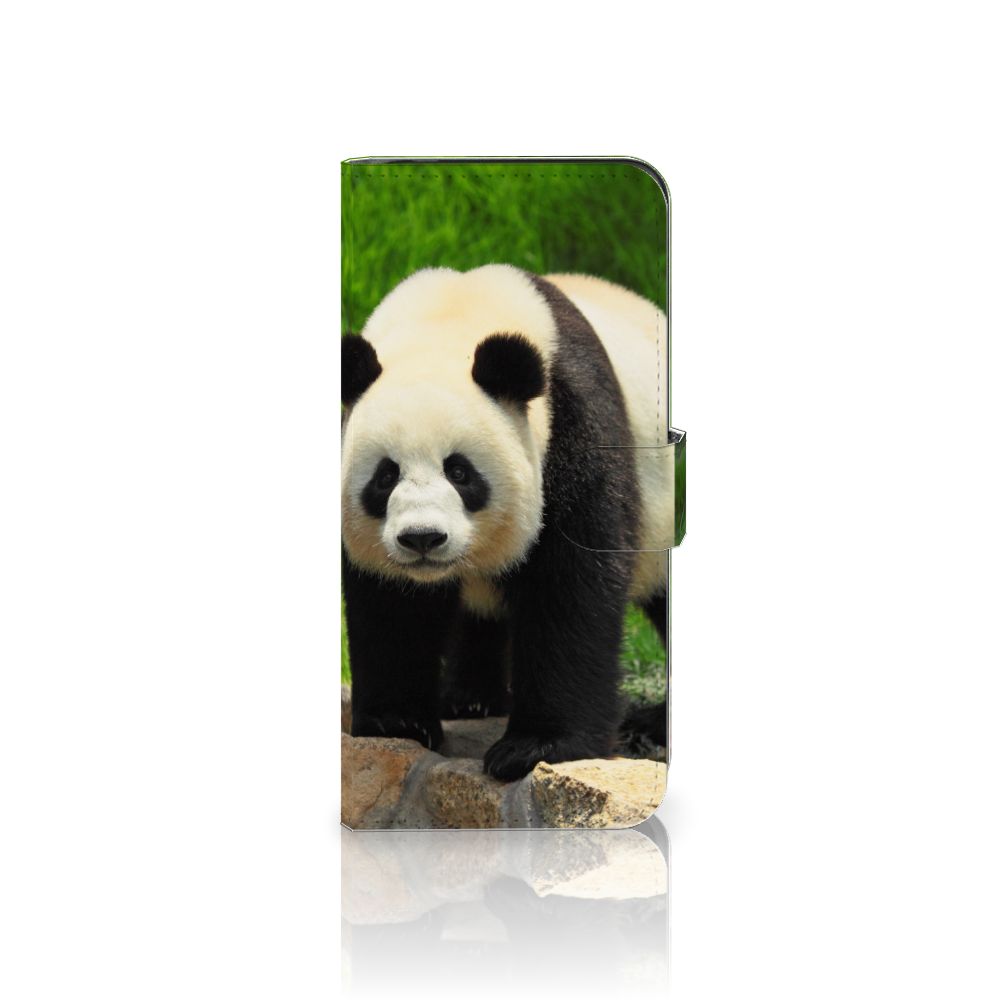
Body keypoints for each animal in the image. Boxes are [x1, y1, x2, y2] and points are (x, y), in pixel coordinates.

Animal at [341, 264, 672, 781]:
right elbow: (390, 603)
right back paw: (469, 699)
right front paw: (397, 722)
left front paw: (536, 747)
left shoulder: (572, 426)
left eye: (459, 472)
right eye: (385, 475)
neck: (449, 319)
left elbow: (571, 584)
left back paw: (651, 724)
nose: (422, 539)